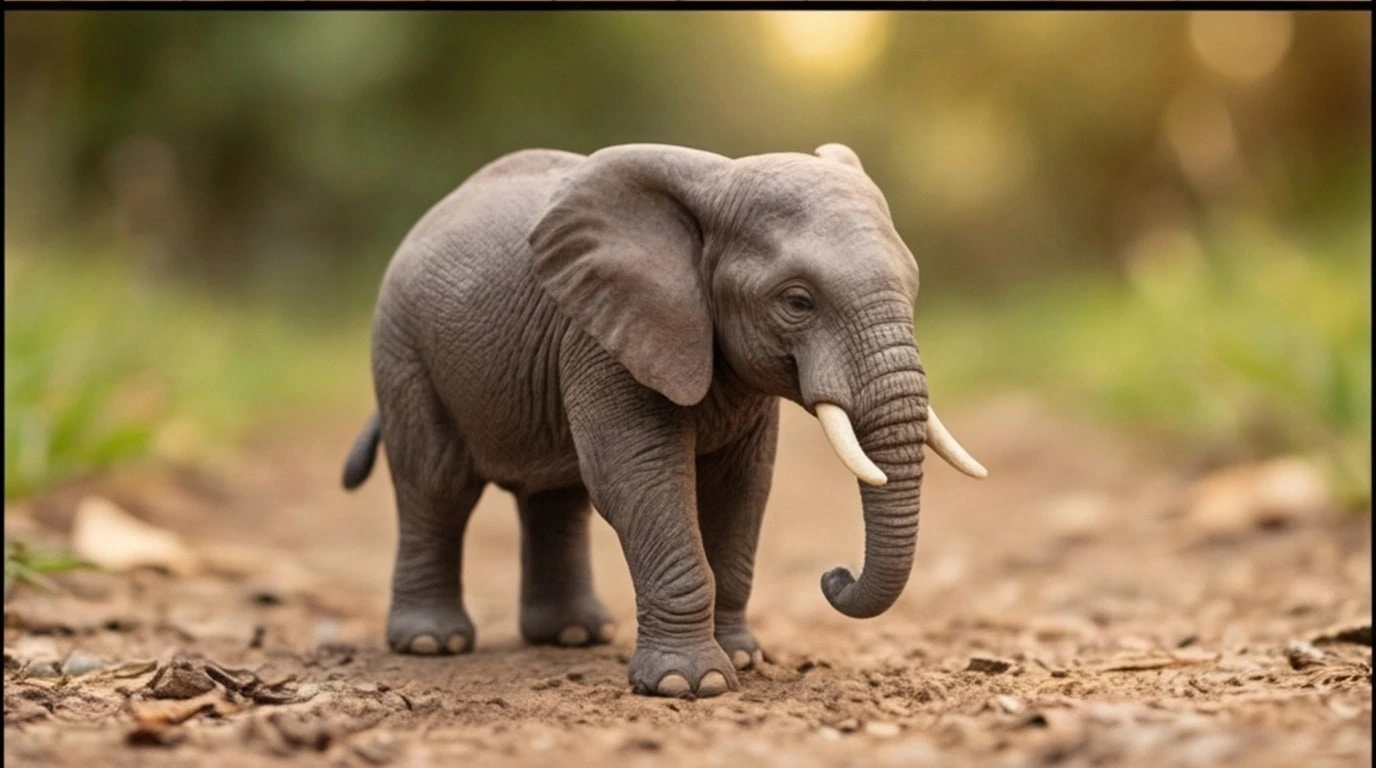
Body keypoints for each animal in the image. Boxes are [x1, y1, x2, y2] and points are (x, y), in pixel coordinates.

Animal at [341, 142, 987, 698]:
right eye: (797, 302)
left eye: (912, 286)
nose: (835, 577)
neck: (719, 182)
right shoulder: (603, 334)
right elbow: (640, 476)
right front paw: (690, 685)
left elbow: (742, 488)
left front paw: (744, 659)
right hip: (403, 347)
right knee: (438, 484)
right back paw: (433, 644)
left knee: (556, 496)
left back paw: (574, 636)